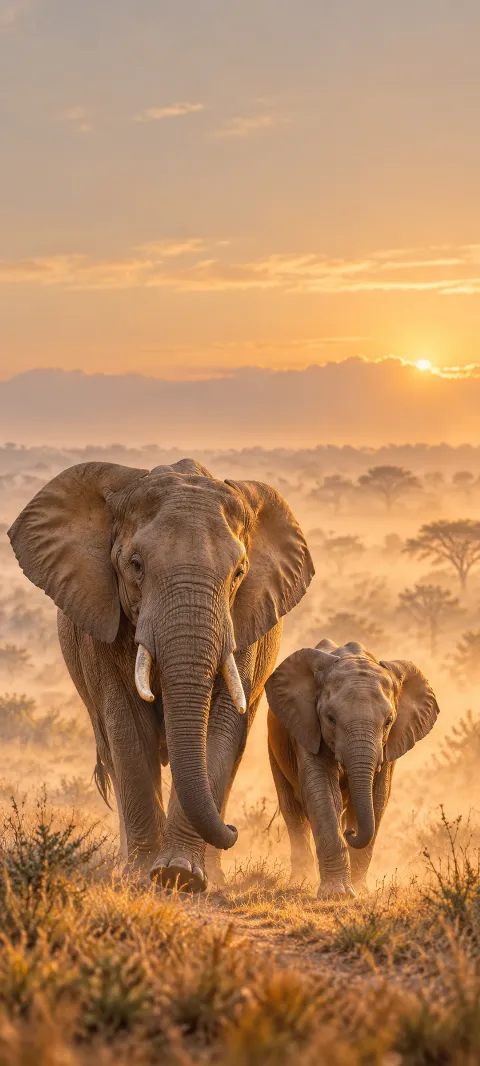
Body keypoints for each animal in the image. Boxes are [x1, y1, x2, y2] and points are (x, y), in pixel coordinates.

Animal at [8, 458, 314, 892]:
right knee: (112, 752)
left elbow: (220, 726)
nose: (234, 830)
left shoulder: (243, 626)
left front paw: (181, 875)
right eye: (136, 566)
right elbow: (127, 727)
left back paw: (212, 874)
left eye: (239, 573)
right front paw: (143, 875)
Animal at [266, 639, 439, 898]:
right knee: (292, 809)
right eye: (330, 718)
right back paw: (301, 882)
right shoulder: (307, 728)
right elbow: (324, 794)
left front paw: (361, 891)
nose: (350, 834)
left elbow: (377, 797)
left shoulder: (388, 746)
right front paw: (337, 895)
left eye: (389, 721)